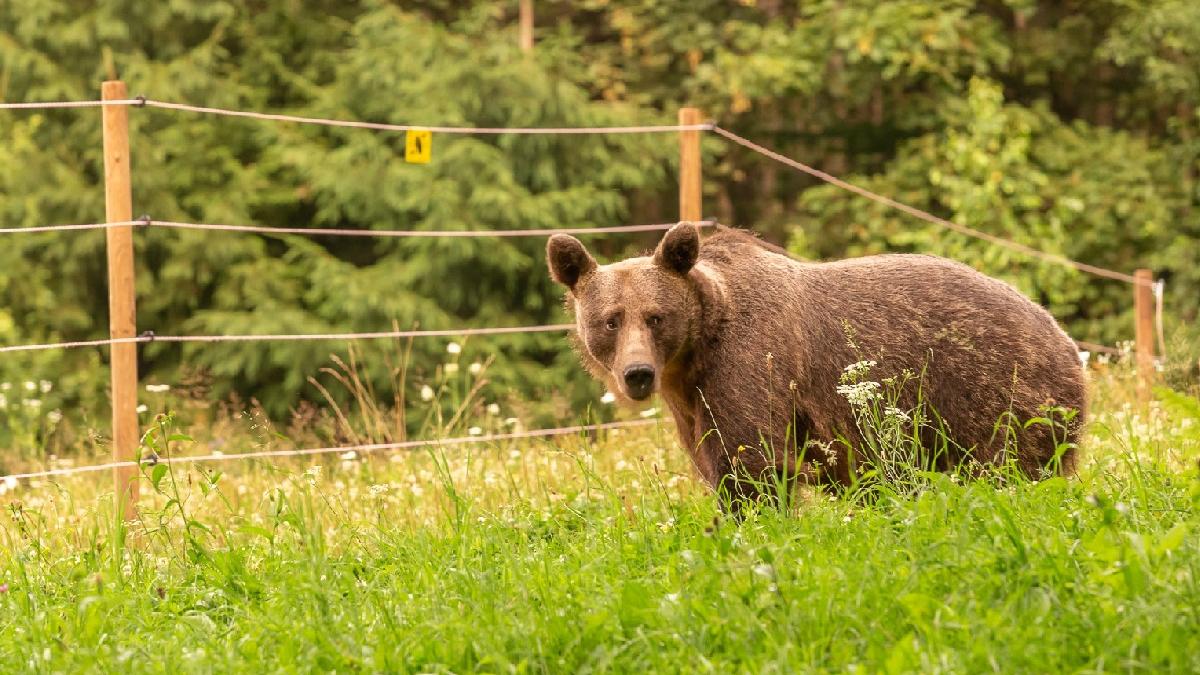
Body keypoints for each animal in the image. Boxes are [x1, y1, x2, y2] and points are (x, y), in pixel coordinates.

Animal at [549, 223, 1094, 502]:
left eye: (655, 316)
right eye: (610, 320)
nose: (638, 374)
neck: (694, 352)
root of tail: (1068, 343)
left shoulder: (750, 364)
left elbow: (751, 464)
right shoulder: (692, 401)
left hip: (995, 392)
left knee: (1011, 467)